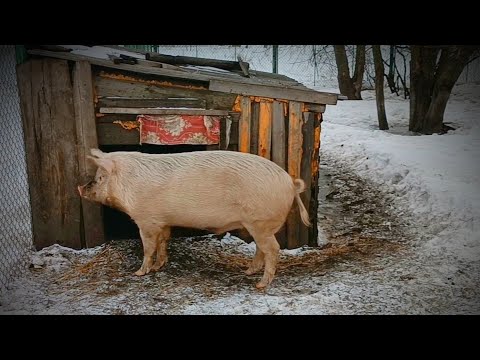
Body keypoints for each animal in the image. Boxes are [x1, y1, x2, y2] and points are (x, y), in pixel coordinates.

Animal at [79, 149, 312, 290]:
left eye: (100, 178)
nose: (80, 188)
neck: (128, 183)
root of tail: (290, 183)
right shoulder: (163, 222)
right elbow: (163, 242)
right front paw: (159, 266)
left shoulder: (146, 220)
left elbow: (148, 247)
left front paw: (139, 273)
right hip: (257, 225)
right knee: (260, 249)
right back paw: (248, 271)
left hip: (261, 222)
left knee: (272, 249)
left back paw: (260, 284)